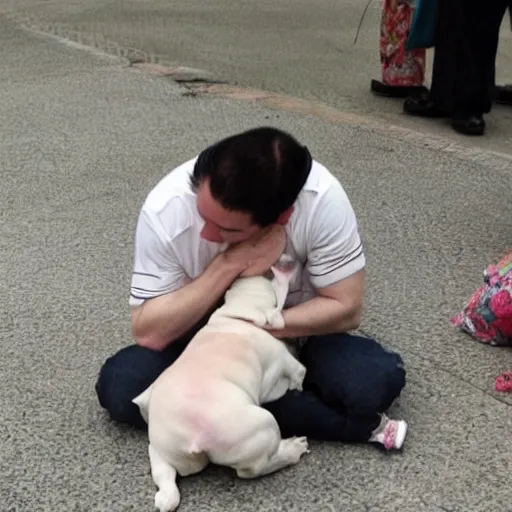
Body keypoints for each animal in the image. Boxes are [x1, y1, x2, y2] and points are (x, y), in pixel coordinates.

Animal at [132, 258, 308, 512]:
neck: (239, 310)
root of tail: (193, 440)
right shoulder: (283, 360)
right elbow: (298, 372)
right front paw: (297, 385)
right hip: (262, 425)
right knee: (253, 470)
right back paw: (292, 449)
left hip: (159, 448)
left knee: (164, 476)